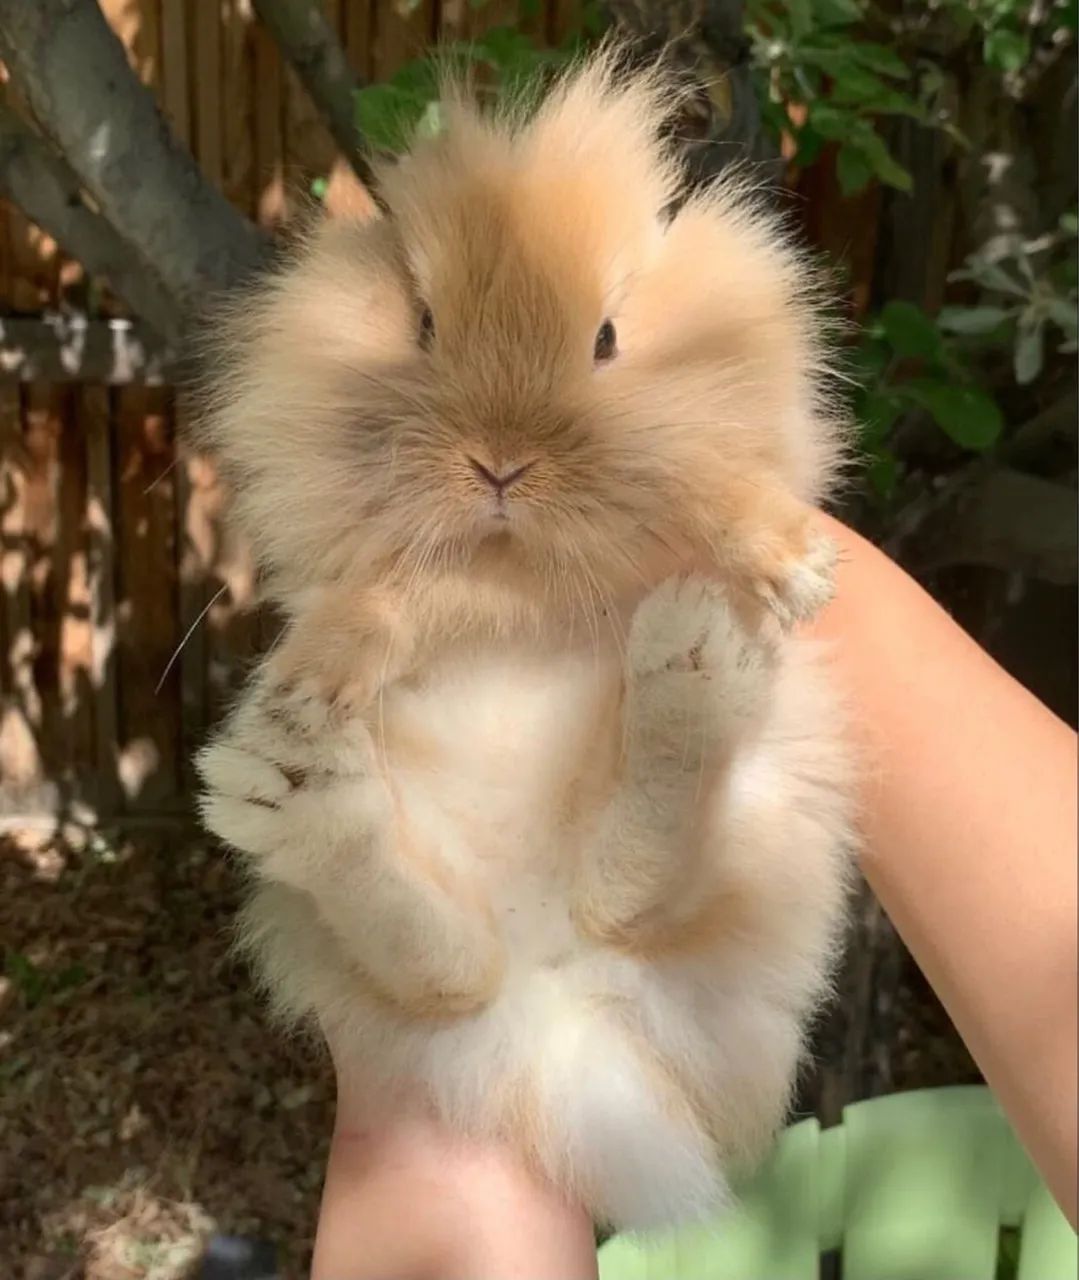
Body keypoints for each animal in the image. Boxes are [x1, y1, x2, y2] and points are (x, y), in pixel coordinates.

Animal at [192, 46, 856, 1231]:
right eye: (422, 325)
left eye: (605, 337)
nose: (498, 462)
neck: (520, 575)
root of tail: (558, 991)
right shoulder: (402, 579)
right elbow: (376, 600)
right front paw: (309, 682)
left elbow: (701, 482)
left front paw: (789, 565)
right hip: (362, 937)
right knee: (446, 961)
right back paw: (300, 784)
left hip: (782, 814)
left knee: (634, 888)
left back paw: (691, 665)